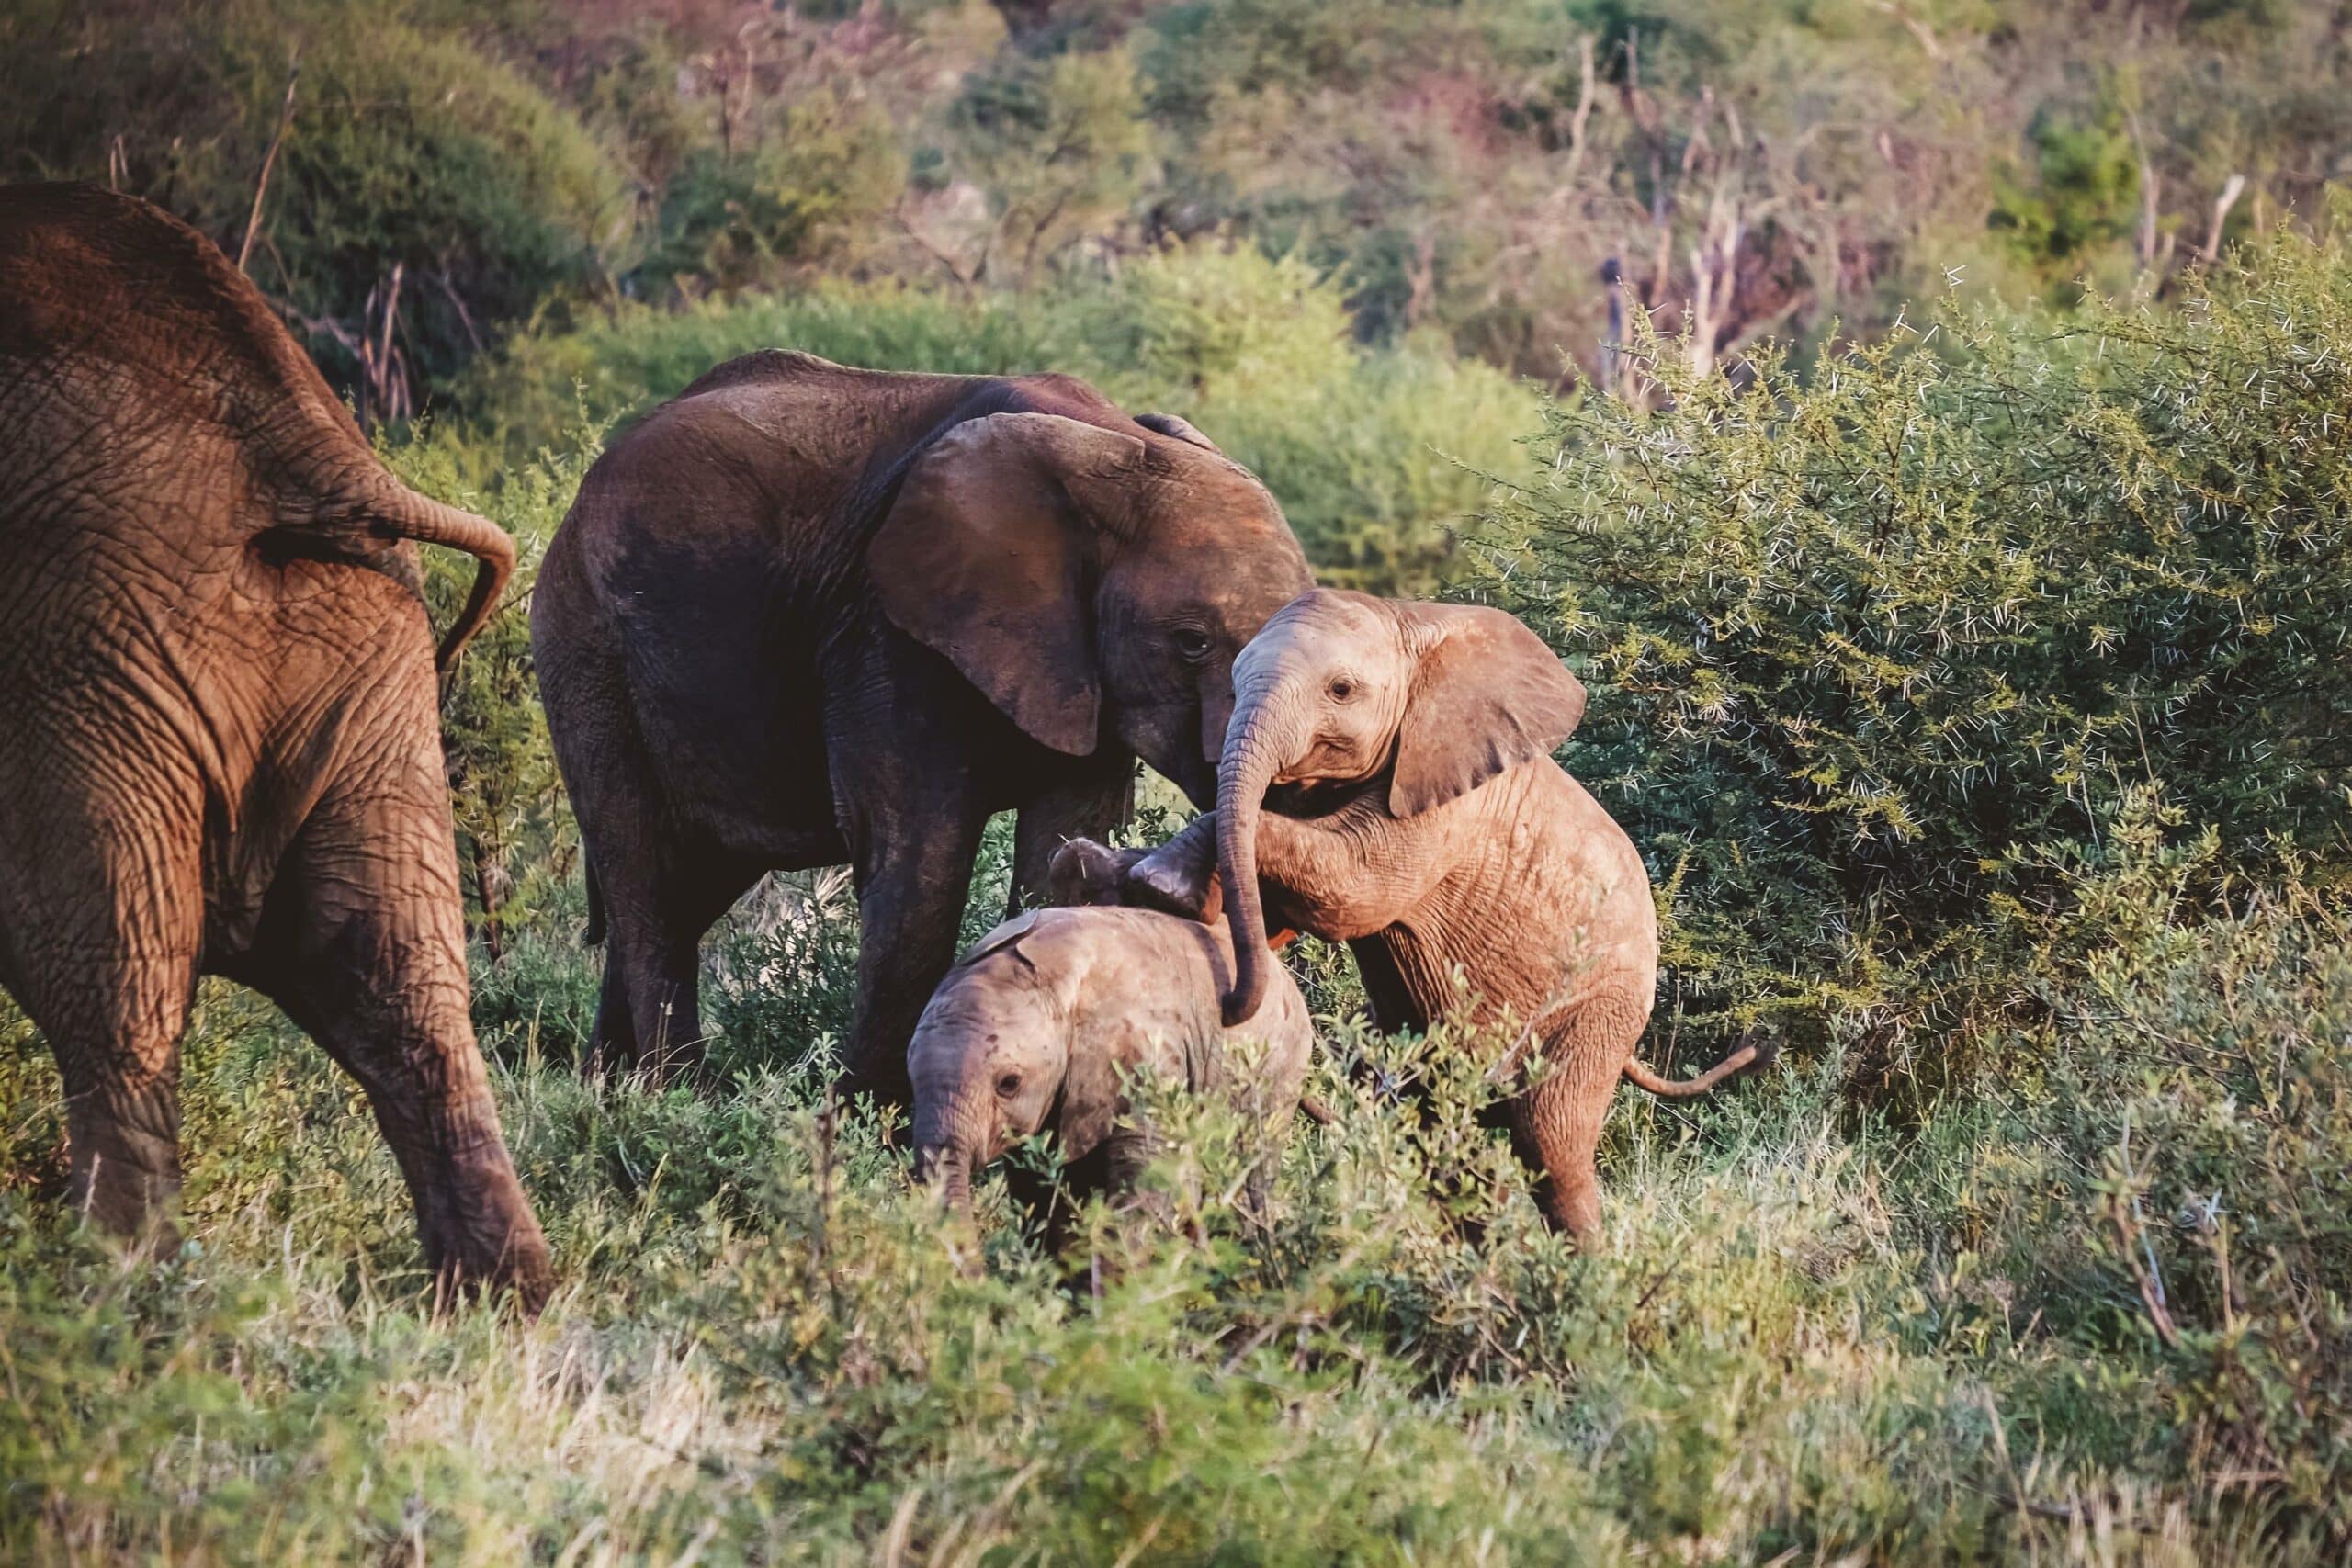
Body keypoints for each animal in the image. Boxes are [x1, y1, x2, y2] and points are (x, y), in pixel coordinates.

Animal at [0, 184, 551, 1307]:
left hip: (80, 658)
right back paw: (505, 1309)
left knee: (110, 994)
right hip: (368, 652)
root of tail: (301, 447)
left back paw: (115, 1303)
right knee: (408, 982)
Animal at [531, 352, 1313, 1100]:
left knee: (690, 881)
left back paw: (610, 1089)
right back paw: (677, 1100)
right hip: (587, 644)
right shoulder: (886, 630)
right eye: (1192, 641)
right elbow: (920, 865)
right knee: (648, 878)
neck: (1115, 446)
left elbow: (1058, 842)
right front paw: (867, 1120)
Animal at [906, 888, 1315, 1222]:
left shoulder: (1150, 1061)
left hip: (1279, 1071)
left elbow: (1148, 1186)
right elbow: (1039, 1191)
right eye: (912, 1079)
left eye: (1009, 1083)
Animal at [1127, 588, 1769, 1245]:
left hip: (1599, 1012)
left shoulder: (1452, 805)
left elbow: (1353, 887)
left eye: (1341, 690)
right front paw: (1155, 884)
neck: (1412, 626)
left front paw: (1156, 881)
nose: (1233, 1004)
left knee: (1553, 1145)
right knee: (1446, 1137)